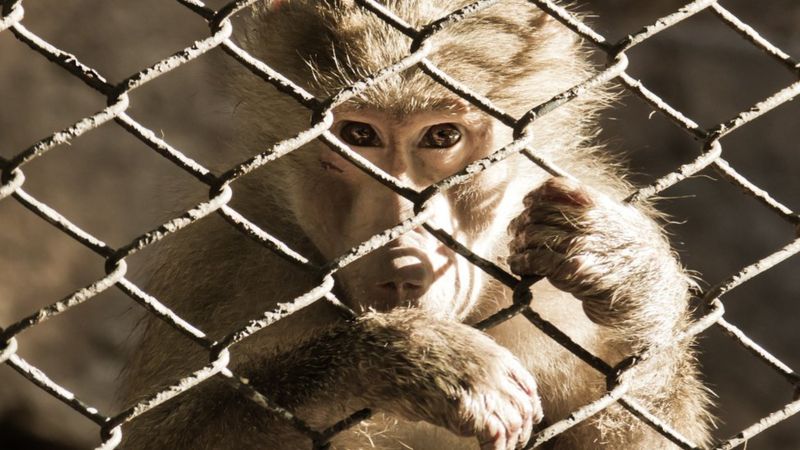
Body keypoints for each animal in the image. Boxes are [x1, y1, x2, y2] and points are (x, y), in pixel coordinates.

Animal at [119, 0, 712, 450]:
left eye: (442, 136)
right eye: (359, 135)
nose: (406, 265)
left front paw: (631, 273)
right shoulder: (223, 263)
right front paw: (402, 357)